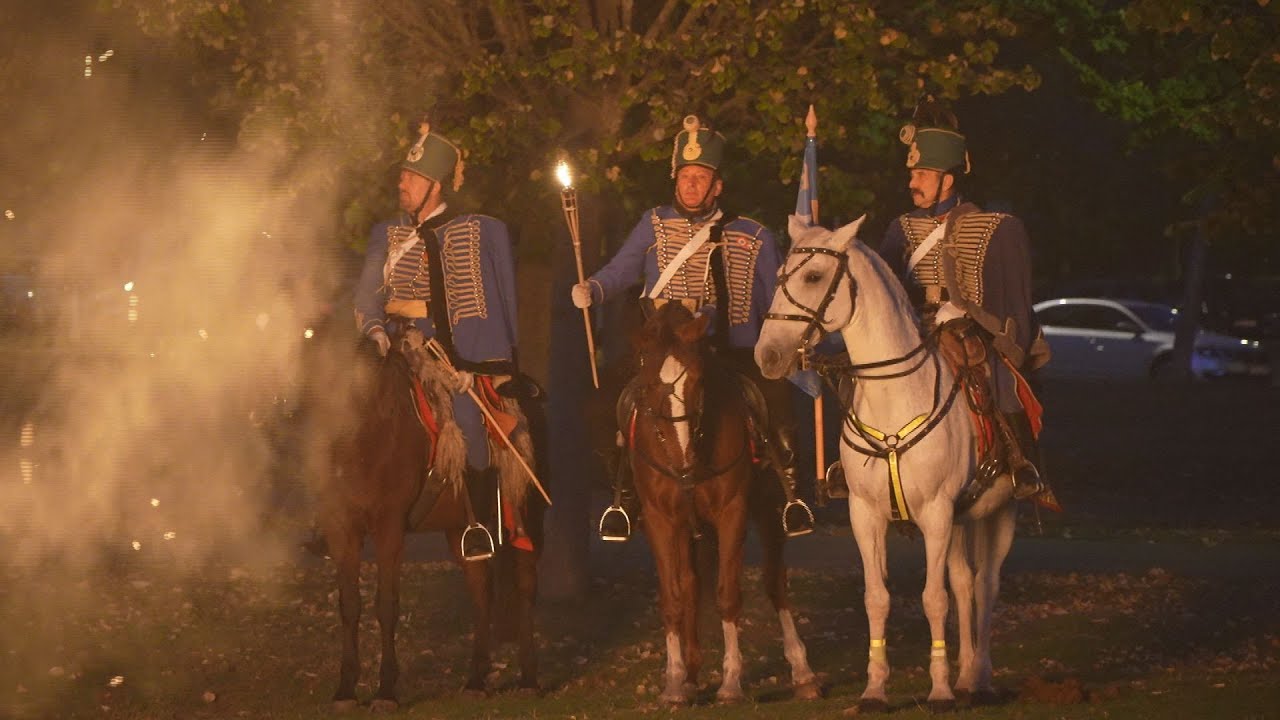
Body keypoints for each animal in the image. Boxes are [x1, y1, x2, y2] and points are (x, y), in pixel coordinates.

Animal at [311, 334, 544, 712]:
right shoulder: (341, 528)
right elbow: (349, 605)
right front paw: (345, 690)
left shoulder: (389, 528)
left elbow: (386, 604)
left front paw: (386, 692)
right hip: (460, 531)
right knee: (481, 590)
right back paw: (476, 680)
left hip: (529, 516)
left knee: (525, 586)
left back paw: (529, 679)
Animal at [625, 301, 819, 704]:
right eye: (648, 385)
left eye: (698, 381)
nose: (683, 462)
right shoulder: (660, 519)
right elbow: (673, 598)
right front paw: (673, 684)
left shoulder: (733, 511)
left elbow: (728, 594)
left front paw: (731, 682)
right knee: (691, 583)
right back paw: (690, 674)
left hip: (769, 509)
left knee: (775, 581)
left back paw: (802, 671)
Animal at [755, 216, 1017, 712]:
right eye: (778, 278)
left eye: (813, 276)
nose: (768, 355)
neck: (895, 396)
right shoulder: (866, 514)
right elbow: (877, 597)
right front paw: (875, 689)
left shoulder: (936, 513)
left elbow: (934, 599)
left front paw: (938, 690)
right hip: (961, 520)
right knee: (964, 582)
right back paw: (966, 676)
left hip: (999, 513)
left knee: (986, 585)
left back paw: (980, 677)